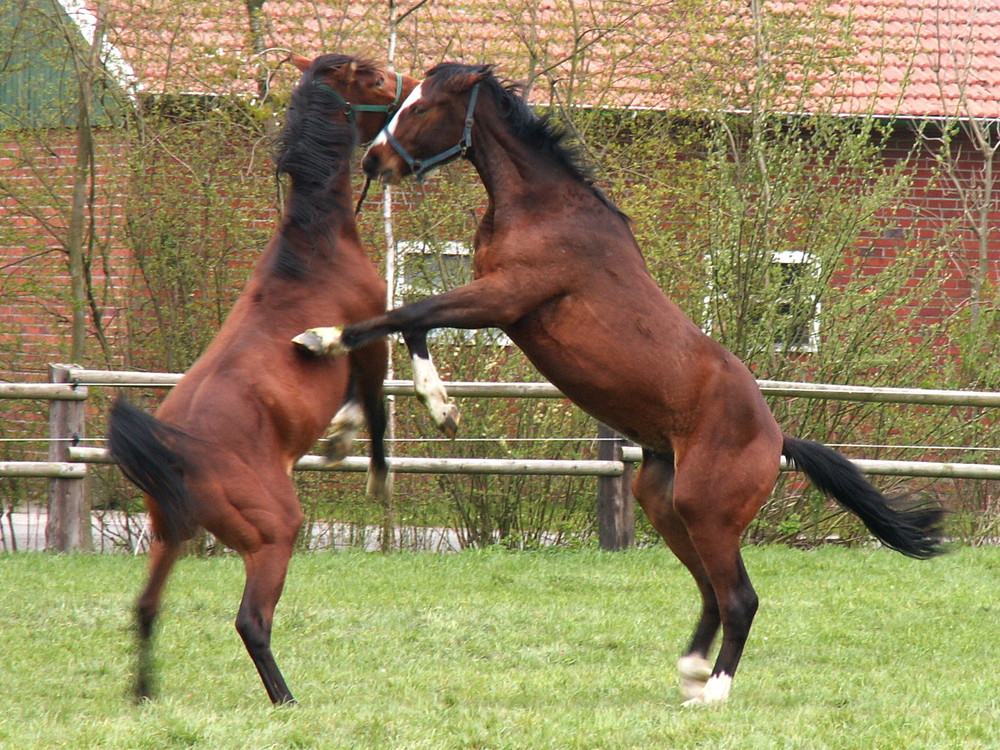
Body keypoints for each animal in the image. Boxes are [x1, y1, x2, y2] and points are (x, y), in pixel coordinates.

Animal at [105, 54, 406, 704]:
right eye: (371, 76)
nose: (407, 87)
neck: (313, 251)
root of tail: (177, 454)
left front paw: (339, 439)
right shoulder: (371, 338)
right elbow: (375, 405)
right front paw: (373, 469)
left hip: (167, 536)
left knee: (145, 609)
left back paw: (143, 693)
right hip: (272, 537)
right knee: (251, 620)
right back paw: (286, 700)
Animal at [294, 63, 944, 704]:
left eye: (425, 109)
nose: (374, 162)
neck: (542, 208)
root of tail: (776, 439)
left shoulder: (506, 298)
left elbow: (406, 312)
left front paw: (339, 349)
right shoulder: (494, 302)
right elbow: (410, 317)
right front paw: (370, 417)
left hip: (708, 512)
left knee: (739, 597)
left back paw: (714, 692)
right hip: (665, 504)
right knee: (711, 592)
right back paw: (690, 673)